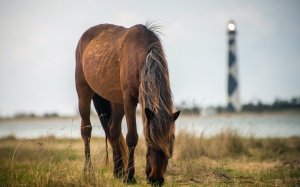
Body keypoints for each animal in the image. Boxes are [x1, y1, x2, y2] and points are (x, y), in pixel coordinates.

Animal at [75, 23, 180, 186]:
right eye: (151, 142)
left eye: (170, 144)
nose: (156, 180)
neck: (141, 57)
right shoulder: (129, 100)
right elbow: (132, 137)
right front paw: (130, 176)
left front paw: (130, 174)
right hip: (84, 92)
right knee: (86, 130)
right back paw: (88, 171)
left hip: (116, 101)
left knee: (113, 130)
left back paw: (118, 172)